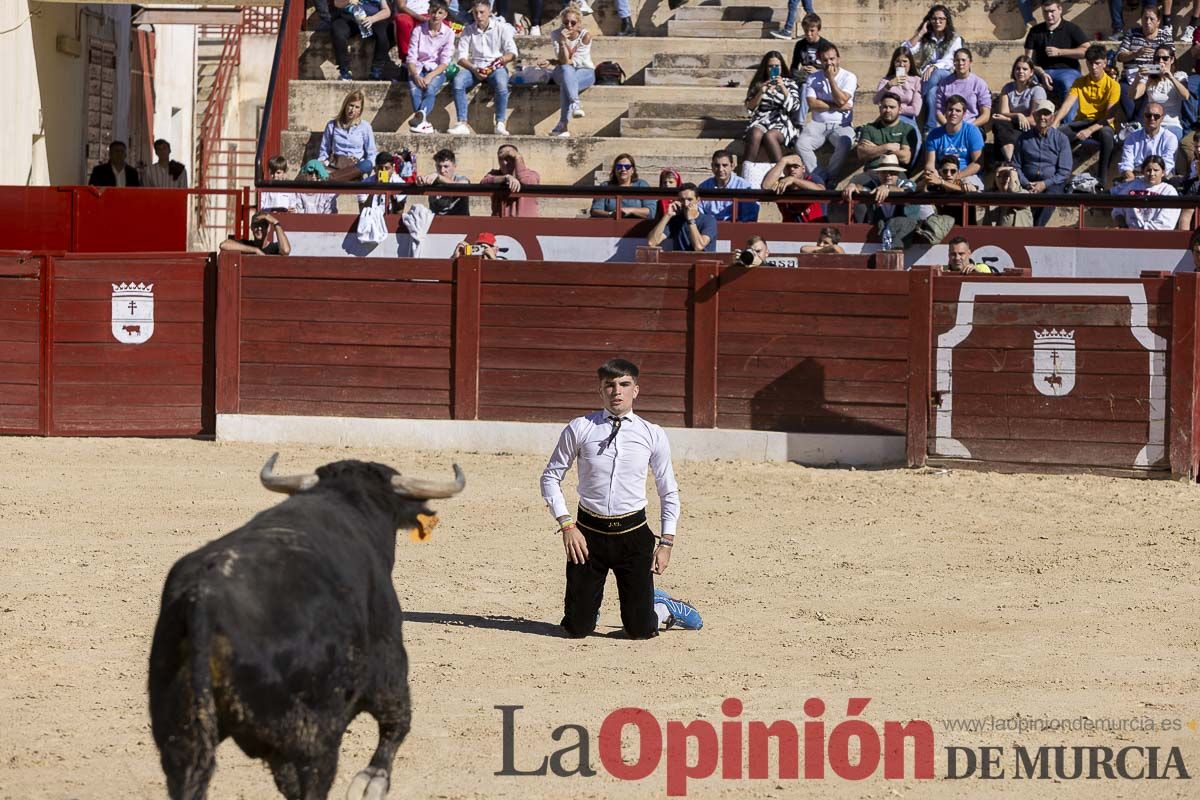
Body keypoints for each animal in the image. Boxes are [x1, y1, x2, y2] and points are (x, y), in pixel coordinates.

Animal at [148, 455, 463, 800]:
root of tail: (203, 600)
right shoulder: (388, 658)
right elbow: (397, 721)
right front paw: (372, 781)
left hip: (182, 735)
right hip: (312, 733)